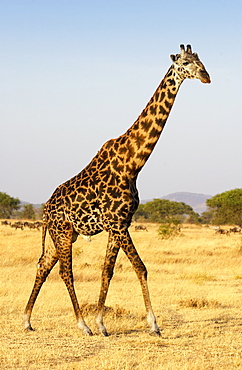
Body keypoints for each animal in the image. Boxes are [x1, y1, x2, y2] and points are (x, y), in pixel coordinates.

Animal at [23, 44, 211, 336]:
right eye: (185, 63)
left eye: (201, 60)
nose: (206, 76)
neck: (132, 163)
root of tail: (44, 210)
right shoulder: (118, 223)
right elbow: (140, 267)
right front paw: (153, 324)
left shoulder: (120, 224)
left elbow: (107, 271)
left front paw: (102, 323)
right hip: (62, 232)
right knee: (65, 272)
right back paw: (81, 324)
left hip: (64, 235)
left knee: (43, 265)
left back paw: (28, 320)